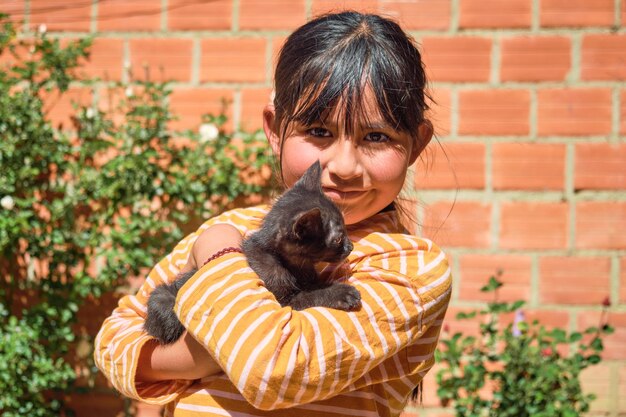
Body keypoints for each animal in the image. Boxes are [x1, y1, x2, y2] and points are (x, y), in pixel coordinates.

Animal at [144, 161, 358, 342]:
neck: (296, 267)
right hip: (164, 298)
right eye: (338, 239)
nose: (351, 247)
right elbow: (309, 296)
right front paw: (340, 293)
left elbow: (314, 286)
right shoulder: (283, 302)